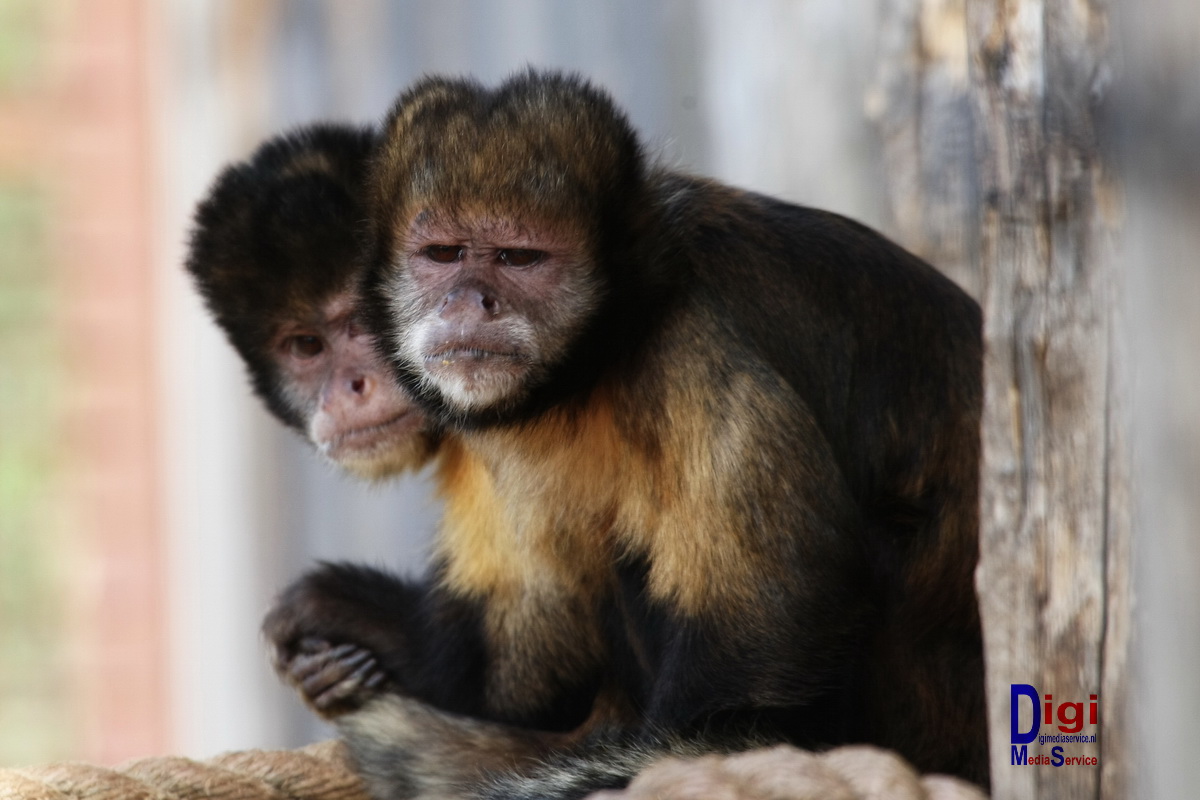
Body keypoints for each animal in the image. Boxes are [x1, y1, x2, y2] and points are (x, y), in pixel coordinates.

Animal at [254, 70, 987, 798]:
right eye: (444, 255)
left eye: (518, 258)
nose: (469, 302)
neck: (606, 346)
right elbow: (528, 660)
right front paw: (361, 618)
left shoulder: (691, 342)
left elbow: (782, 603)